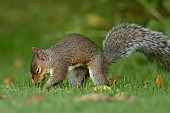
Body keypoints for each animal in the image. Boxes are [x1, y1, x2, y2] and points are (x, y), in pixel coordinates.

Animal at [29, 23, 170, 89]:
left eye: (38, 70)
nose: (36, 82)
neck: (51, 58)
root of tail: (104, 61)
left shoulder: (60, 64)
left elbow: (57, 77)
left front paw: (45, 87)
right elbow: (57, 81)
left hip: (95, 68)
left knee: (103, 81)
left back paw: (102, 88)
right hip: (77, 71)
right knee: (77, 81)